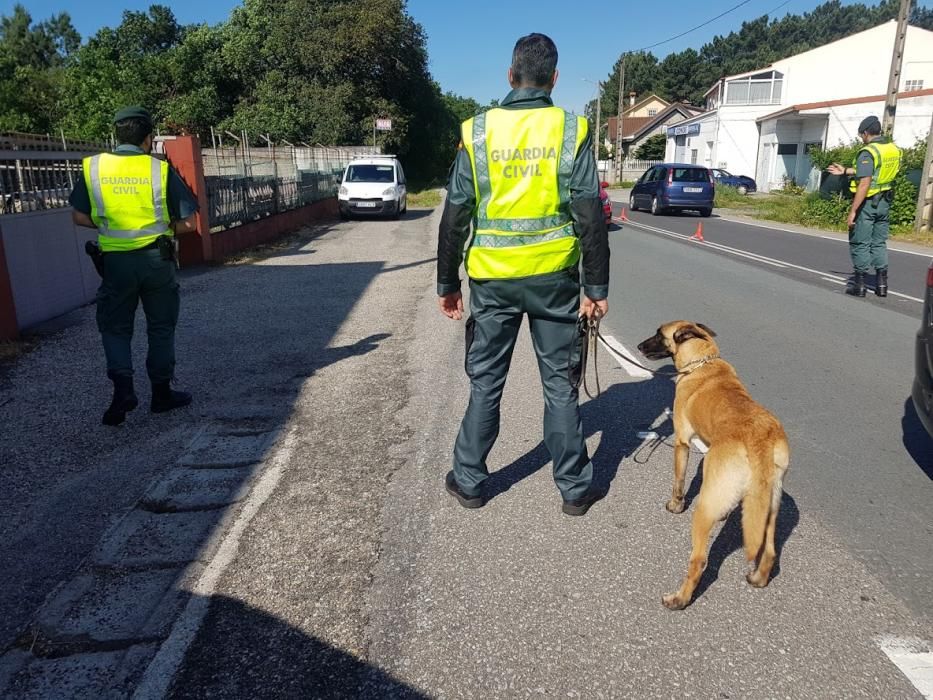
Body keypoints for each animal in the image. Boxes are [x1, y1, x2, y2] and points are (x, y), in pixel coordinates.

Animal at [640, 322, 788, 608]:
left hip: (705, 508)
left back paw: (680, 599)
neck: (702, 362)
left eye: (659, 334)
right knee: (770, 551)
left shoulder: (681, 442)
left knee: (699, 560)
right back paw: (758, 579)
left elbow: (678, 480)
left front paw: (675, 505)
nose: (640, 346)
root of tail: (760, 441)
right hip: (770, 507)